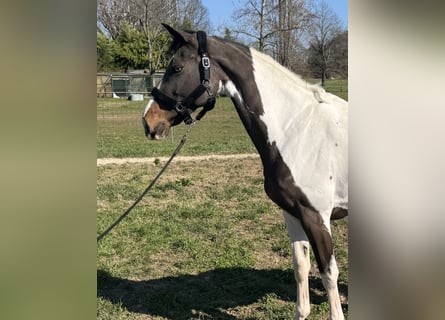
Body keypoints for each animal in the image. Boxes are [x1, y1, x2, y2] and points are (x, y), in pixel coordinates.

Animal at [142, 23, 346, 318]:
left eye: (177, 67)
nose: (148, 122)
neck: (297, 129)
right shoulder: (293, 213)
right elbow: (301, 268)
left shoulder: (317, 217)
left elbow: (329, 274)